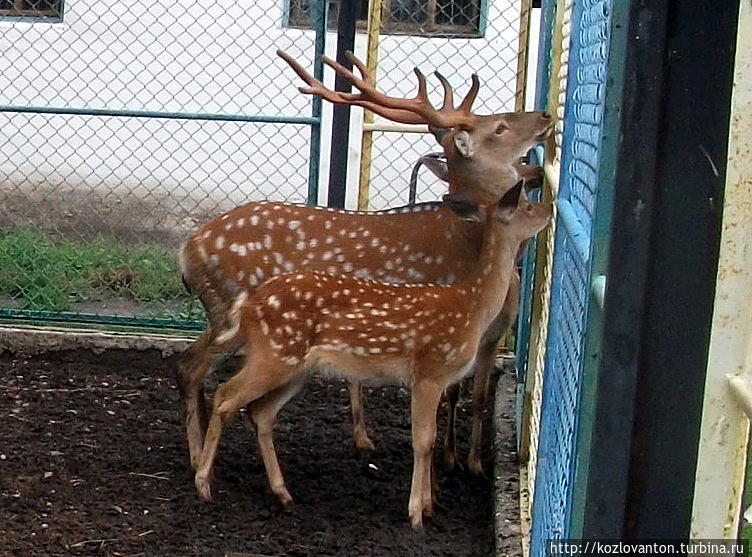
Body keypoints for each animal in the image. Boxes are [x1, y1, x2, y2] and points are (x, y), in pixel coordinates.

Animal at [177, 50, 552, 474]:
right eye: (499, 128)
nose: (545, 115)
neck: (468, 241)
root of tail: (188, 249)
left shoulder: (488, 336)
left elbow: (474, 396)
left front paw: (457, 458)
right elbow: (457, 395)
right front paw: (463, 464)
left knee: (192, 366)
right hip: (232, 311)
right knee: (192, 369)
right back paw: (197, 457)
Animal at [194, 181, 552, 524]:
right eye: (526, 206)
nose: (549, 209)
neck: (471, 305)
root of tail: (247, 306)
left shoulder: (439, 377)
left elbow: (430, 439)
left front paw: (427, 506)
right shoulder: (429, 370)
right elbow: (423, 440)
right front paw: (416, 513)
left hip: (296, 366)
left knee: (260, 412)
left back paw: (282, 493)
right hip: (275, 353)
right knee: (225, 395)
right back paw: (203, 483)